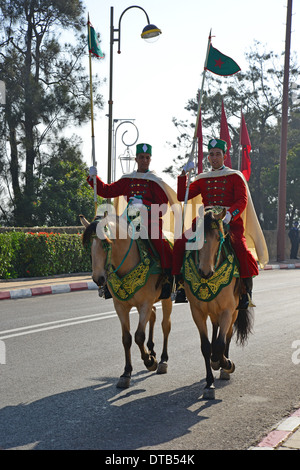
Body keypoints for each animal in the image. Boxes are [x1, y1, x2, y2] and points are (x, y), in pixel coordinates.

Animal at [81, 213, 172, 390]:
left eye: (105, 244)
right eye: (88, 246)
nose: (98, 279)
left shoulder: (145, 304)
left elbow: (138, 336)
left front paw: (149, 362)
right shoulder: (120, 306)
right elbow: (127, 339)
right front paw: (126, 373)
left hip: (167, 297)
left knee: (165, 325)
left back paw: (163, 360)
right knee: (153, 316)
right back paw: (152, 350)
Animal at [182, 207, 252, 398]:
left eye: (219, 238)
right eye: (196, 238)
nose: (205, 272)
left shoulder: (228, 310)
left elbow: (221, 344)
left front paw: (226, 364)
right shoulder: (197, 311)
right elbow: (206, 347)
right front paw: (209, 384)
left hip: (234, 311)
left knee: (227, 336)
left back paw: (223, 367)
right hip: (213, 311)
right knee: (215, 329)